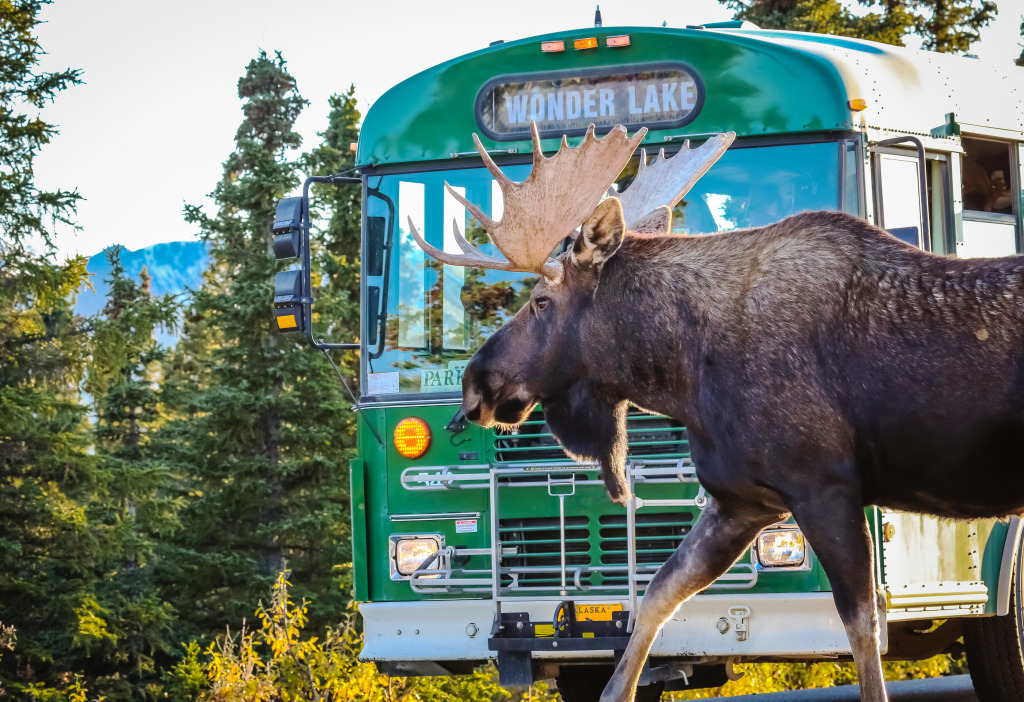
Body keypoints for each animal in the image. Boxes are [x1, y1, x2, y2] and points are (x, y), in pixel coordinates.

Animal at [407, 123, 1024, 699]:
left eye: (540, 302)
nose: (474, 385)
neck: (682, 372)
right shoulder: (741, 500)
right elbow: (657, 594)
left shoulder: (823, 487)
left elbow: (862, 625)